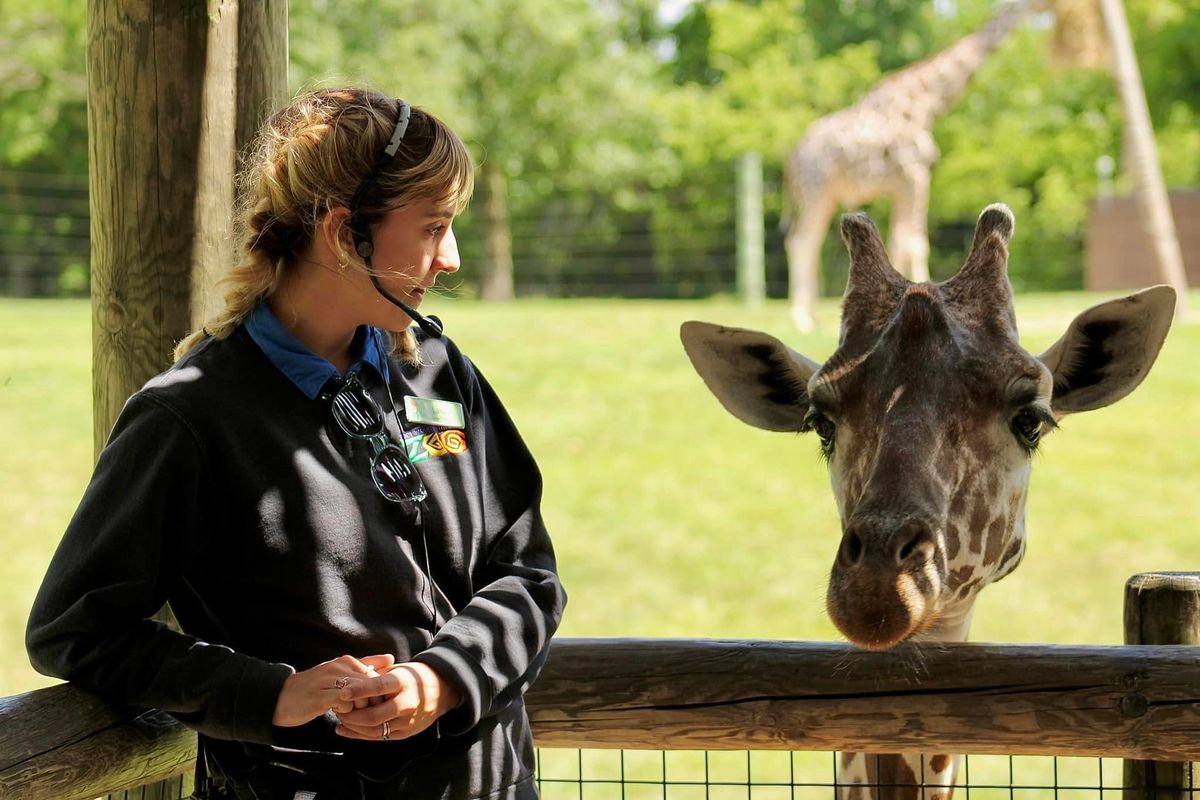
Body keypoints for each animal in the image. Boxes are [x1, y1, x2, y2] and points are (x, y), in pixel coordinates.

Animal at [782, 0, 1046, 331]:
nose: (1043, 12)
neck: (927, 102)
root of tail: (791, 160)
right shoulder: (915, 174)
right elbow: (916, 242)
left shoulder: (901, 185)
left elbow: (899, 241)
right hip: (815, 191)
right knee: (802, 242)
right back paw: (802, 320)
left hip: (825, 195)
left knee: (807, 243)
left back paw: (816, 316)